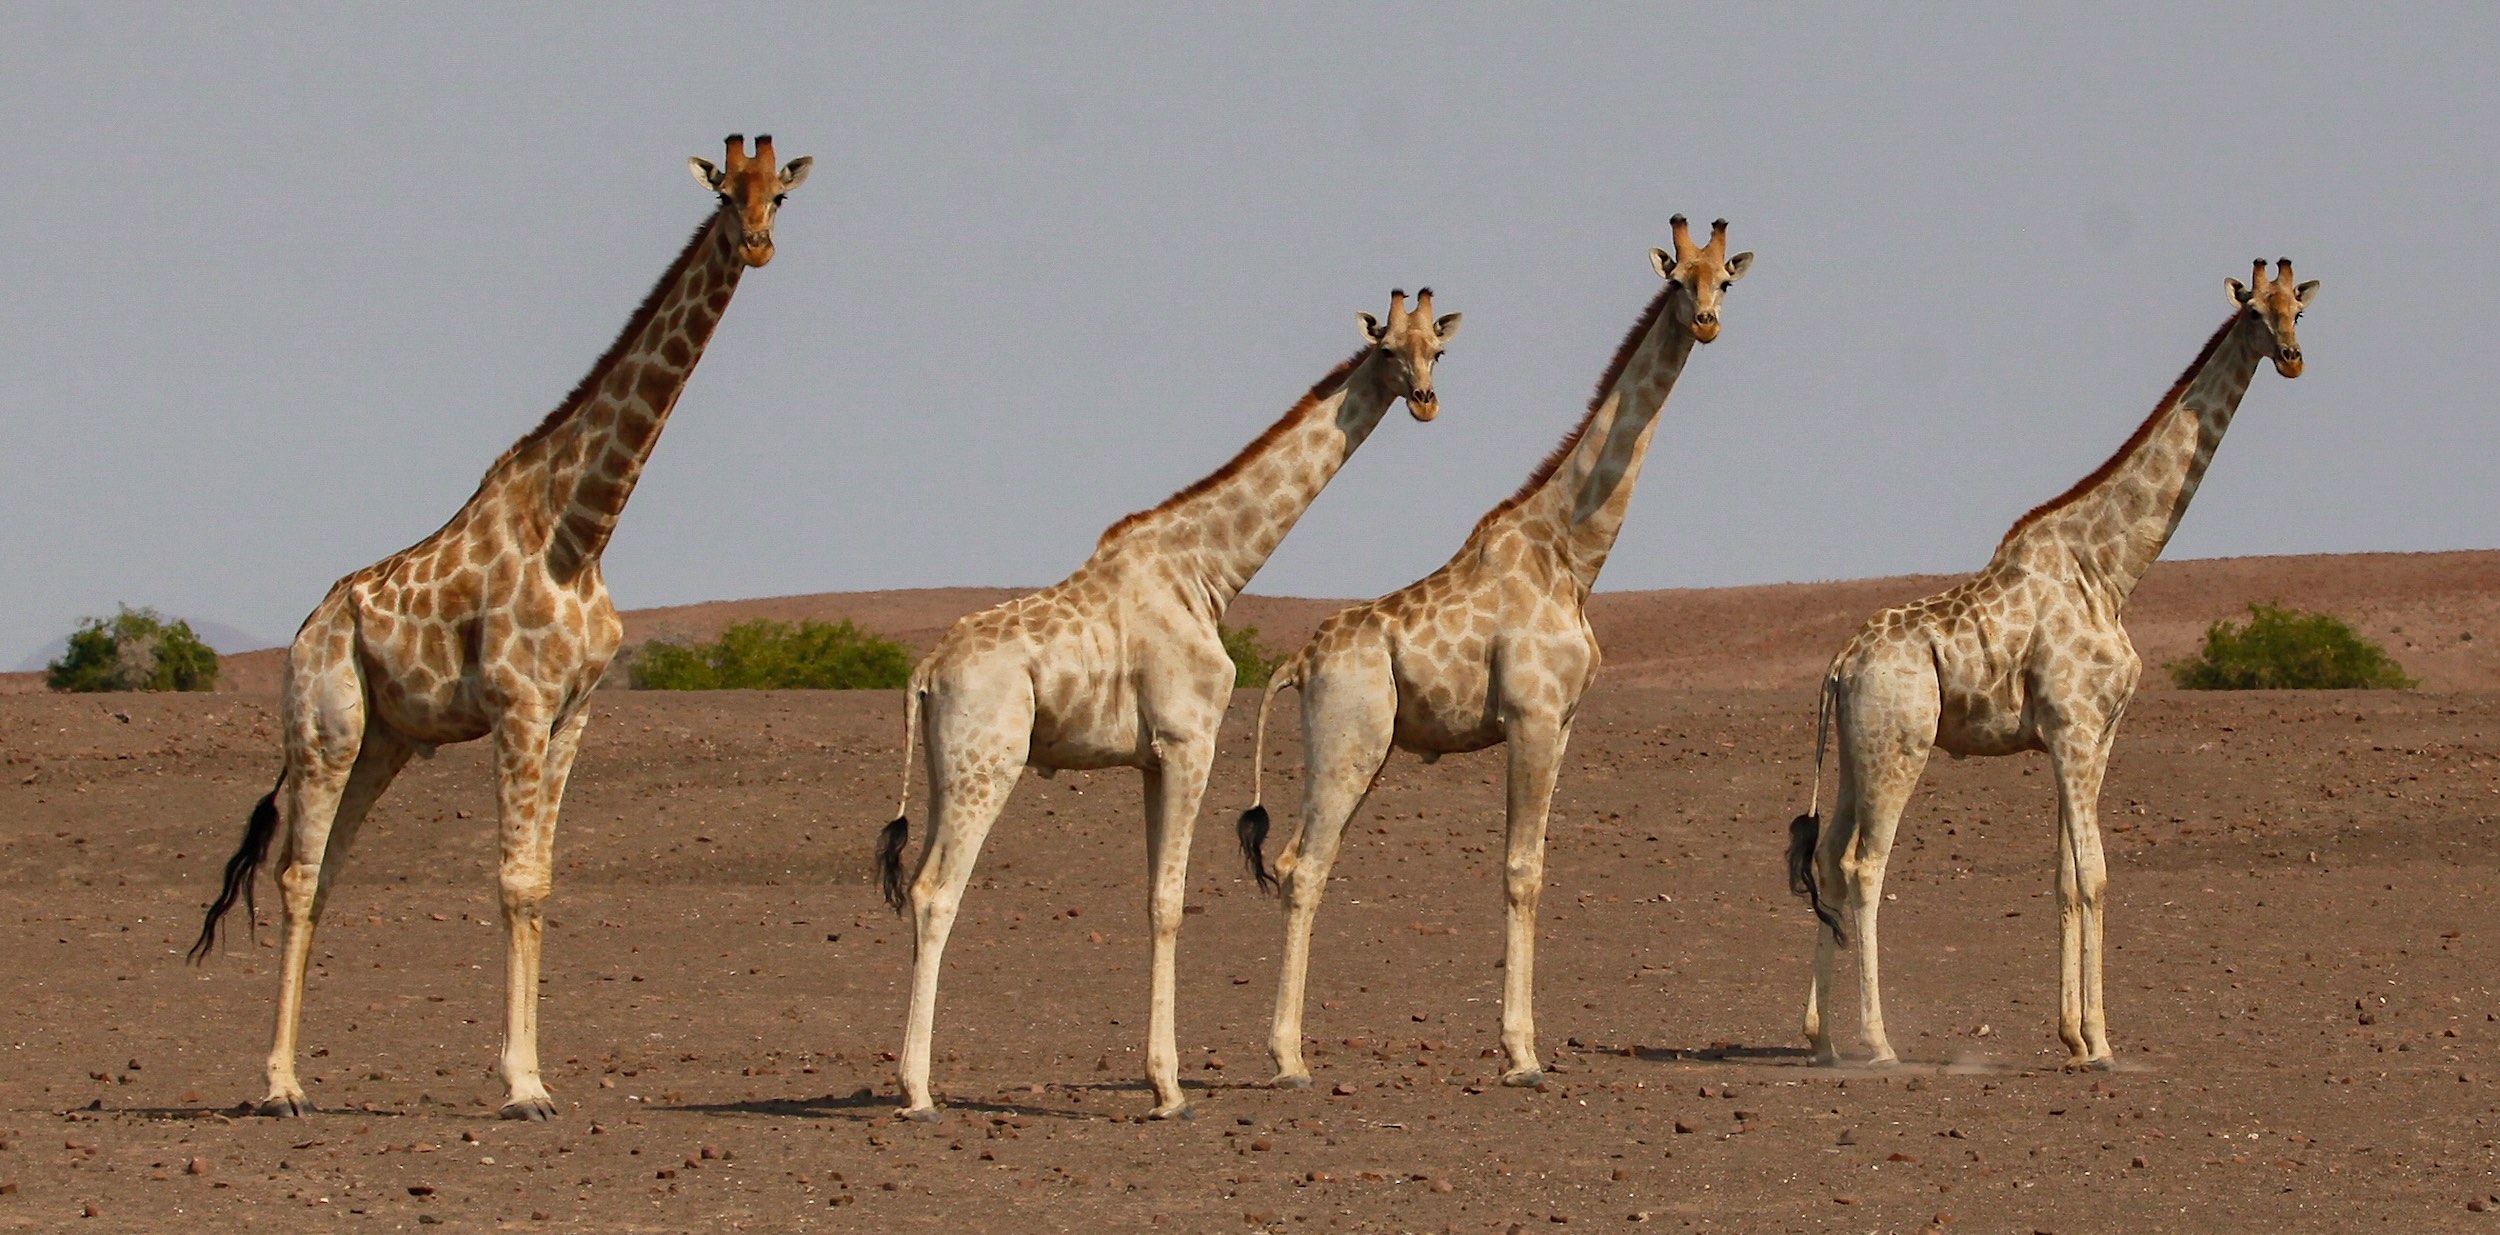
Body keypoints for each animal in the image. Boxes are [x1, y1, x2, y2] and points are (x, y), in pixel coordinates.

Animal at [195, 135, 820, 1120]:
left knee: (324, 874)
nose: (756, 244)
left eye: (779, 198)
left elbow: (540, 881)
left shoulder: (573, 713)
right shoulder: (520, 707)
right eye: (725, 193)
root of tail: (304, 630)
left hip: (384, 741)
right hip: (323, 728)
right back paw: (279, 1085)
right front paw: (521, 1084)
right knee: (295, 875)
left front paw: (537, 1073)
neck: (581, 529)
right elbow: (513, 880)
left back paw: (300, 1076)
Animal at [880, 290, 1460, 1120]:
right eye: (1387, 350)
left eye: (1436, 351)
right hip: (989, 766)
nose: (1425, 400)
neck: (1209, 571)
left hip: (943, 772)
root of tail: (926, 670)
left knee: (922, 882)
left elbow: (1152, 897)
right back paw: (920, 1090)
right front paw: (1169, 1088)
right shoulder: (1191, 740)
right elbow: (1171, 901)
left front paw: (1165, 1078)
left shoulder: (1152, 757)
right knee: (935, 892)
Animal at [1235, 217, 1750, 1085]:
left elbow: (1536, 864)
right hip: (1348, 740)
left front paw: (1526, 1044)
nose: (1709, 322)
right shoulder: (1531, 715)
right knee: (1304, 866)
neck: (1572, 552)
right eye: (1678, 278)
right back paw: (1287, 1057)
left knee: (1303, 860)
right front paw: (1521, 1052)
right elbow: (1520, 870)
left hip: (1363, 749)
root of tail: (1298, 665)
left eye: (1727, 280)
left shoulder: (1566, 723)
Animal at [1790, 256, 2310, 1065]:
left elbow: (2068, 876)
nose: (2291, 357)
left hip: (1855, 752)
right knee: (1864, 865)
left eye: (2299, 310)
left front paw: (2076, 1034)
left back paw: (1821, 1041)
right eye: (2254, 310)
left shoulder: (2096, 735)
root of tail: (1840, 664)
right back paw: (1879, 1042)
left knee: (1826, 863)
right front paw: (2097, 1039)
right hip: (1900, 747)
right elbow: (2094, 875)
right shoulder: (2072, 728)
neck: (2112, 570)